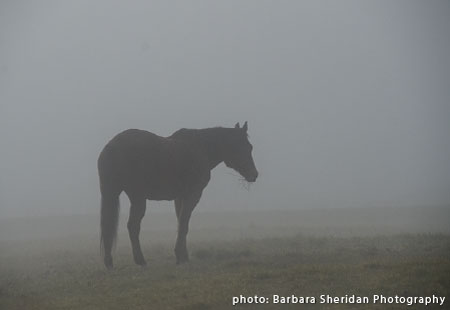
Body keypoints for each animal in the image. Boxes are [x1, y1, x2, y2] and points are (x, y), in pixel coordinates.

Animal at [100, 122, 258, 268]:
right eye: (245, 146)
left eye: (250, 147)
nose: (254, 174)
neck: (201, 148)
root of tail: (111, 147)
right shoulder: (193, 194)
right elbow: (184, 224)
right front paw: (180, 256)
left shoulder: (179, 197)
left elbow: (180, 222)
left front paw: (183, 255)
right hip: (137, 197)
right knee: (133, 226)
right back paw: (140, 260)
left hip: (113, 194)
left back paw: (109, 261)